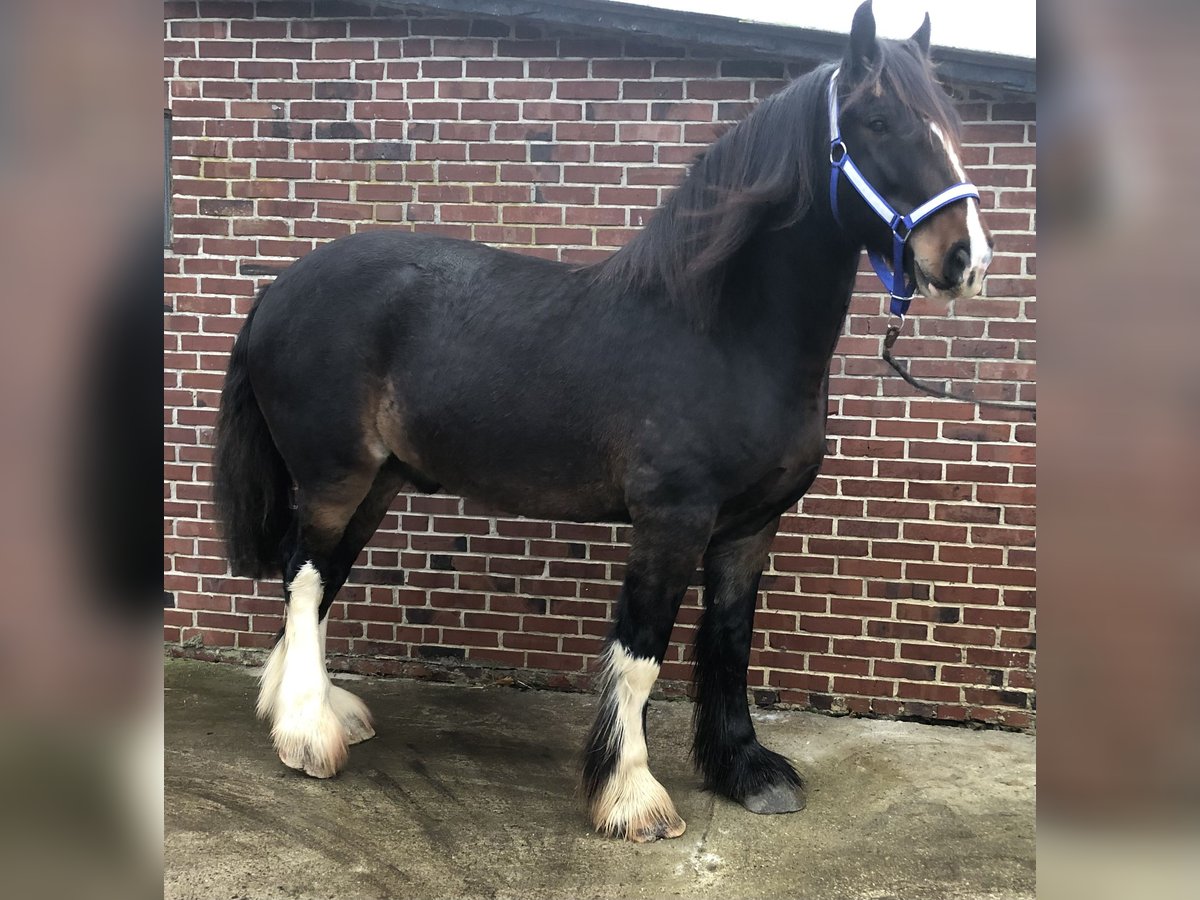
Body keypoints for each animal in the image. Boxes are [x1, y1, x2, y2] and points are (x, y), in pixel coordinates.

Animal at [212, 0, 993, 842]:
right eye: (877, 120)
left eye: (950, 125)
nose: (967, 259)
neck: (725, 335)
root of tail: (276, 291)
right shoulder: (672, 520)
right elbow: (642, 653)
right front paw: (631, 796)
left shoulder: (750, 527)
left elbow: (730, 643)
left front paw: (745, 771)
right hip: (334, 476)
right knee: (304, 577)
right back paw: (305, 734)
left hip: (379, 482)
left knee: (321, 578)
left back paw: (318, 713)